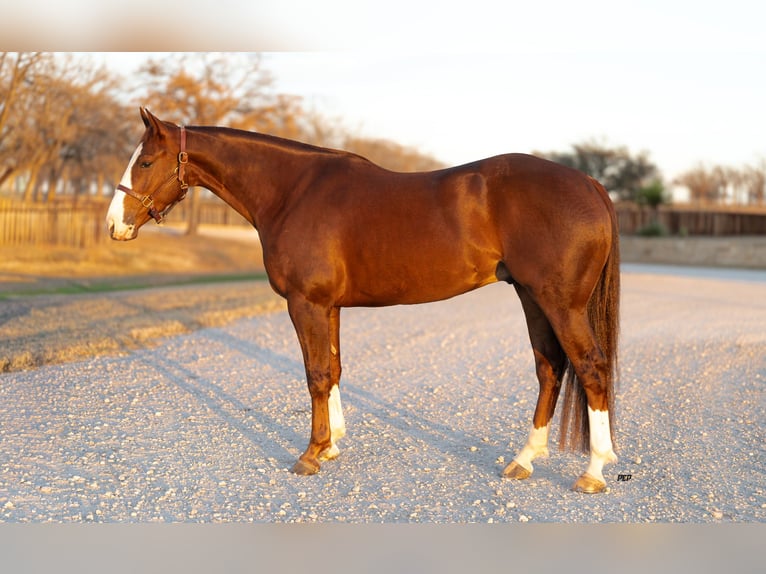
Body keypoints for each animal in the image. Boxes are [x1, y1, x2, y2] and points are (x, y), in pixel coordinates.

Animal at [107, 107, 620, 493]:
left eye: (145, 162)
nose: (115, 226)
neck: (292, 192)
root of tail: (590, 184)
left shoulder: (306, 303)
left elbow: (315, 375)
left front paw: (311, 454)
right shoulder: (328, 306)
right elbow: (332, 369)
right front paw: (332, 445)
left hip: (560, 304)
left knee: (591, 367)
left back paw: (593, 471)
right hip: (533, 298)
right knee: (550, 368)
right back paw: (524, 460)